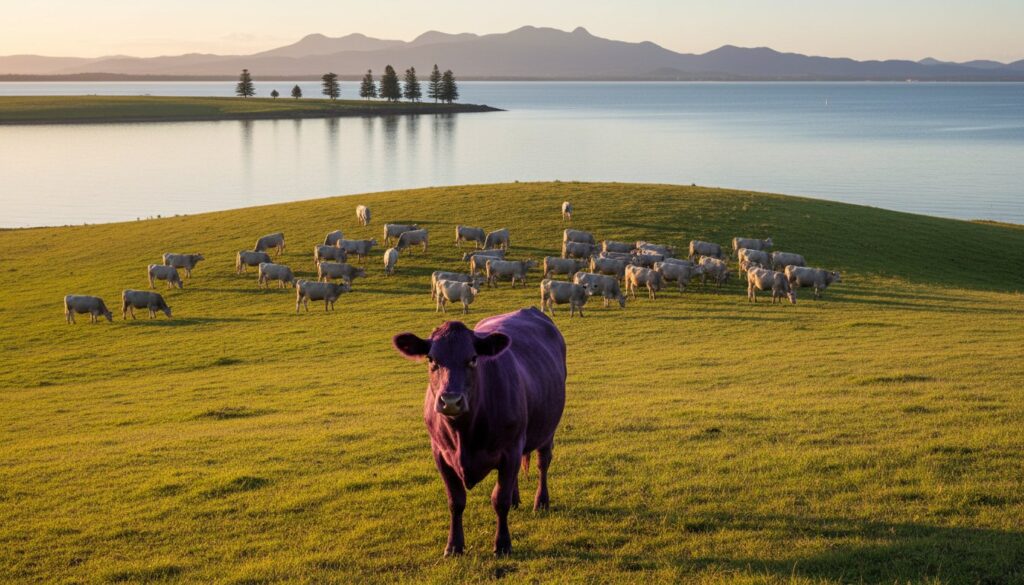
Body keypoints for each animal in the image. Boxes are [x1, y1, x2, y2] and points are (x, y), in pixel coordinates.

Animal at [392, 307, 566, 556]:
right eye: (431, 359)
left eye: (473, 359)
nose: (450, 401)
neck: (463, 434)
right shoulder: (440, 454)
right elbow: (455, 501)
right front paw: (454, 545)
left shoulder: (510, 449)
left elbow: (499, 500)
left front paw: (502, 544)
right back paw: (517, 500)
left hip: (547, 430)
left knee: (543, 463)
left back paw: (541, 502)